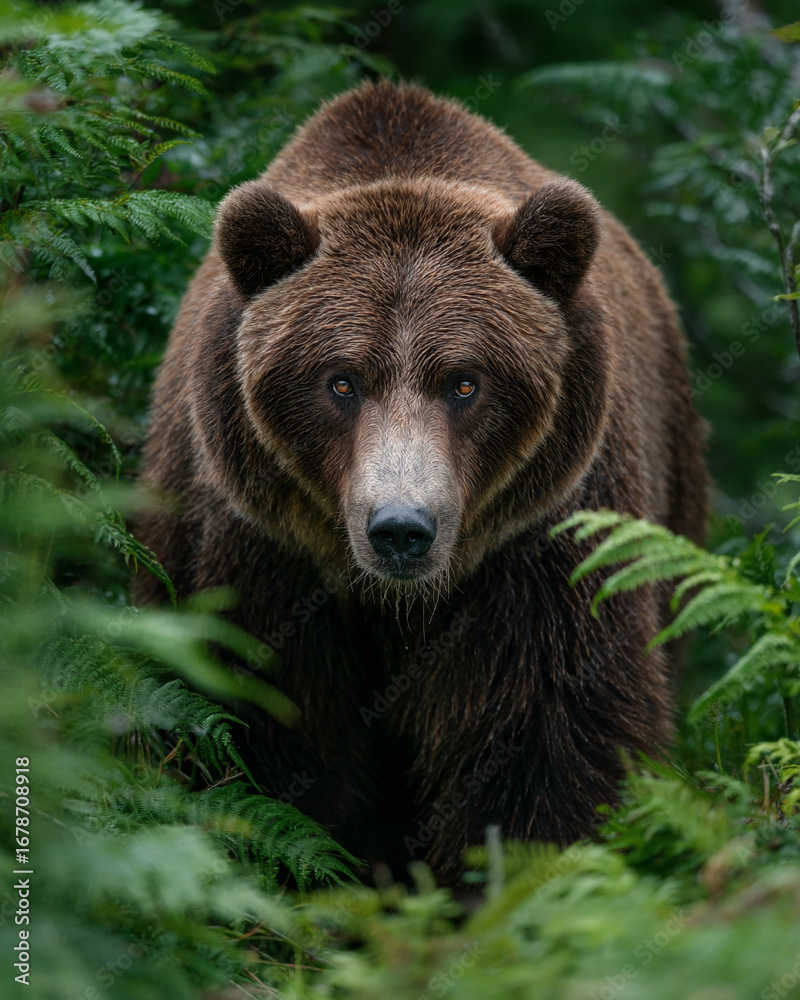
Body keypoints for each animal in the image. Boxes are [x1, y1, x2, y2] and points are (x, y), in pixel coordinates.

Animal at [136, 79, 706, 886]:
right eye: (340, 381)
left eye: (465, 381)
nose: (401, 529)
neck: (393, 603)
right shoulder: (255, 548)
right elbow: (263, 740)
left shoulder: (540, 546)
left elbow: (545, 734)